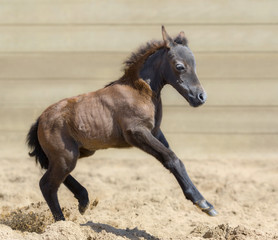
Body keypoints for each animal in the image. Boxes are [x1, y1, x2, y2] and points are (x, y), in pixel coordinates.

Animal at [26, 26, 217, 221]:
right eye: (180, 66)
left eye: (195, 65)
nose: (201, 97)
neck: (139, 92)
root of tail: (40, 120)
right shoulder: (137, 133)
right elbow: (172, 158)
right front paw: (204, 204)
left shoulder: (155, 132)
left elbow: (173, 158)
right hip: (66, 157)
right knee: (47, 185)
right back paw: (62, 222)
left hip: (79, 153)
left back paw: (83, 199)